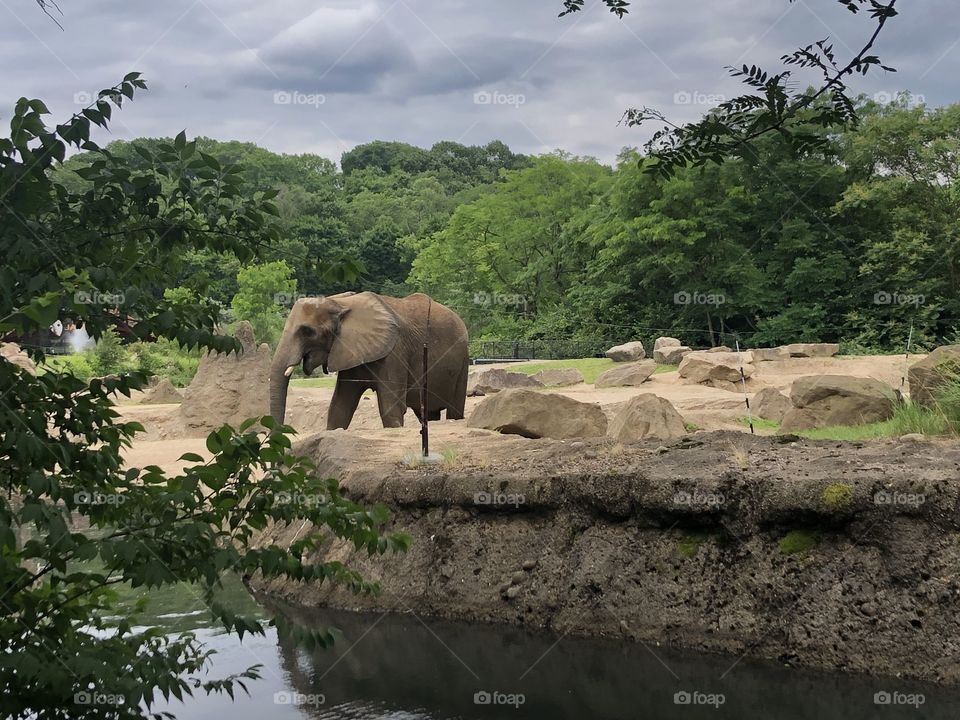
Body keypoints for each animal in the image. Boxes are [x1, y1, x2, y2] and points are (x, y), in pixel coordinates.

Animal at [269, 292, 469, 430]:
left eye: (307, 331)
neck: (341, 303)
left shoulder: (395, 351)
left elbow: (390, 408)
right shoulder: (349, 349)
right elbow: (339, 407)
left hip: (463, 359)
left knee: (454, 409)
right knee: (428, 412)